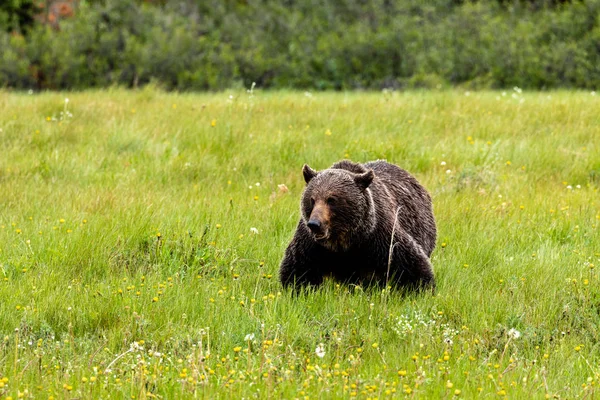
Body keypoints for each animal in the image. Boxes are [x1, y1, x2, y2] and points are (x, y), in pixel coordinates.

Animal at [278, 159, 438, 290]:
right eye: (312, 199)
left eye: (332, 199)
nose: (315, 224)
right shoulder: (311, 245)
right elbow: (297, 269)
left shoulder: (380, 236)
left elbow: (411, 263)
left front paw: (421, 287)